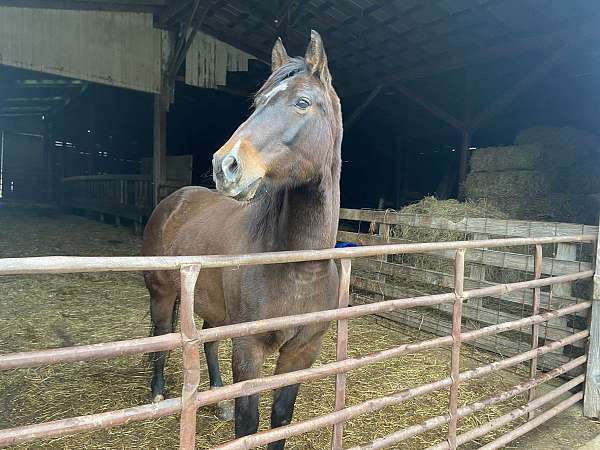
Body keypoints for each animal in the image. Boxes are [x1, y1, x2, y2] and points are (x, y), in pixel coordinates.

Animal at [141, 30, 344, 446]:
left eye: (302, 102)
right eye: (257, 102)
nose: (225, 165)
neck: (295, 267)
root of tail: (173, 200)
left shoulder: (302, 351)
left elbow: (281, 419)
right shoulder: (248, 347)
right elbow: (248, 423)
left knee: (209, 339)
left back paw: (219, 399)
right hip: (163, 295)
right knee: (163, 333)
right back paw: (157, 394)